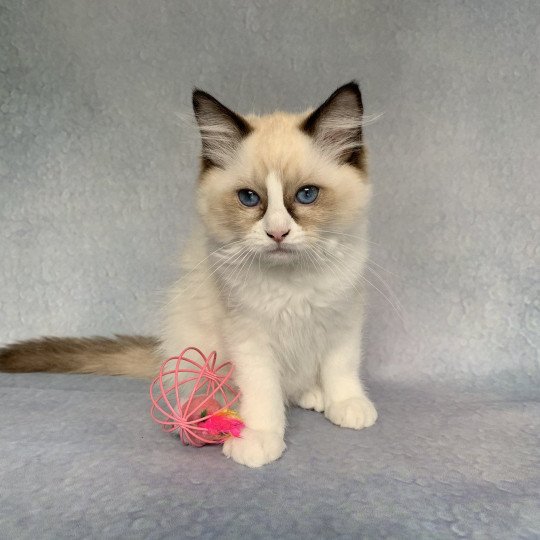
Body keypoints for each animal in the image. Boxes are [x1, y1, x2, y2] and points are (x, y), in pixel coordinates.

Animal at [0, 82, 378, 466]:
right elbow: (263, 392)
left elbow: (340, 366)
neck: (291, 281)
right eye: (248, 198)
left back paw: (314, 395)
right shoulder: (249, 336)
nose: (277, 233)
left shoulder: (343, 317)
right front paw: (259, 438)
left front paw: (347, 405)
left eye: (306, 195)